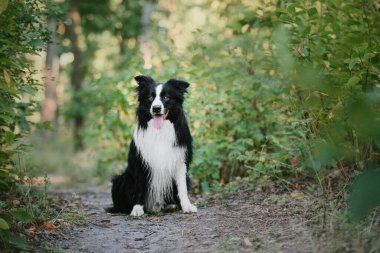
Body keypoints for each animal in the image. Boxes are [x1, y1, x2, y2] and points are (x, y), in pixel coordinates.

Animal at [106, 75, 196, 215]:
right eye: (150, 98)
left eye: (166, 97)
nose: (156, 108)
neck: (159, 132)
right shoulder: (140, 162)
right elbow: (139, 188)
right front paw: (137, 208)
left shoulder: (180, 162)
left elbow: (182, 188)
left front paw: (186, 206)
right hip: (120, 179)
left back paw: (171, 205)